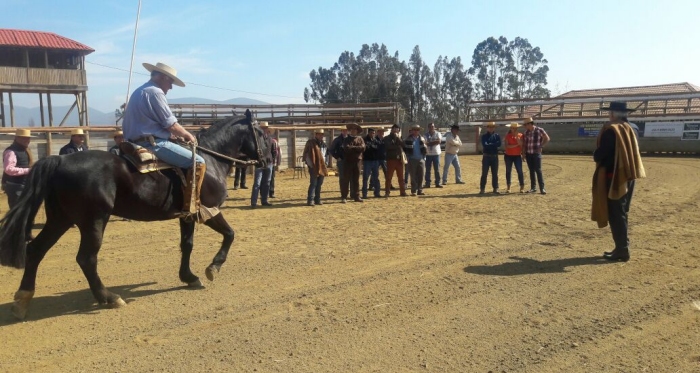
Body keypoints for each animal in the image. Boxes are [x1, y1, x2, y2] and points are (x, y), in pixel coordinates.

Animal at [0, 109, 266, 318]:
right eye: (262, 135)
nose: (268, 159)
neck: (209, 159)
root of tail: (59, 160)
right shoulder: (208, 210)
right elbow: (230, 234)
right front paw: (213, 267)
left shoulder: (187, 214)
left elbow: (187, 245)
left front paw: (189, 276)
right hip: (93, 221)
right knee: (86, 259)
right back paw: (108, 297)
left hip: (60, 219)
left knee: (36, 250)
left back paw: (22, 300)